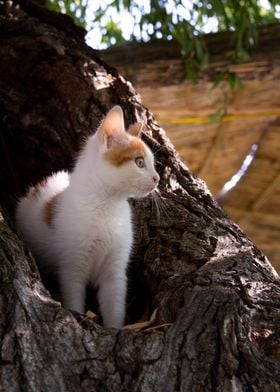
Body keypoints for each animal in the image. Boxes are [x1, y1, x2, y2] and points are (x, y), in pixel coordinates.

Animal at [15, 106, 160, 328]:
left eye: (152, 164)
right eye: (139, 162)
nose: (157, 178)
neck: (107, 205)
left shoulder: (115, 270)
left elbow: (114, 304)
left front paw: (114, 329)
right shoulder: (72, 266)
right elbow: (74, 297)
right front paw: (76, 316)